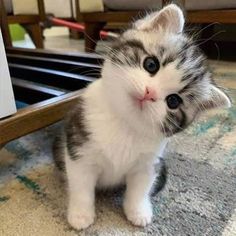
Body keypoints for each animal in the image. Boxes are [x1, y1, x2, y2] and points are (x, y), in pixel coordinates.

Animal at [53, 3, 230, 230]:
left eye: (174, 101)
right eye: (151, 64)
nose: (149, 93)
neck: (126, 123)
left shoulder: (149, 162)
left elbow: (140, 188)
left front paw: (138, 211)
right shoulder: (79, 145)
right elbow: (81, 185)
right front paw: (80, 214)